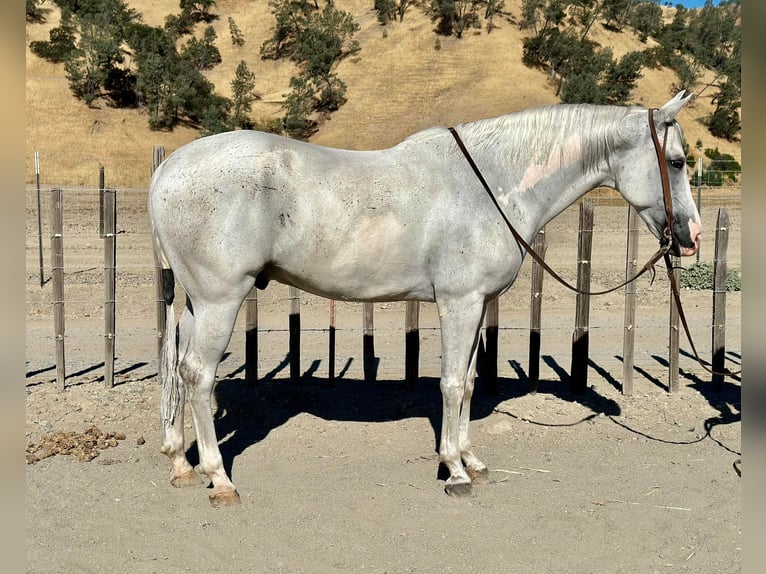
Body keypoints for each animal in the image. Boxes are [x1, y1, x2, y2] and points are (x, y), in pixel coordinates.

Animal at [148, 91, 704, 508]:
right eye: (676, 162)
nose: (692, 236)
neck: (493, 184)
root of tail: (168, 169)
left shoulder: (477, 305)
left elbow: (471, 381)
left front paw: (471, 460)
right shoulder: (459, 302)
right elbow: (453, 384)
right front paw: (454, 471)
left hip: (197, 303)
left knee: (177, 366)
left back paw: (180, 462)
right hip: (220, 300)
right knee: (197, 374)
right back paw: (219, 478)